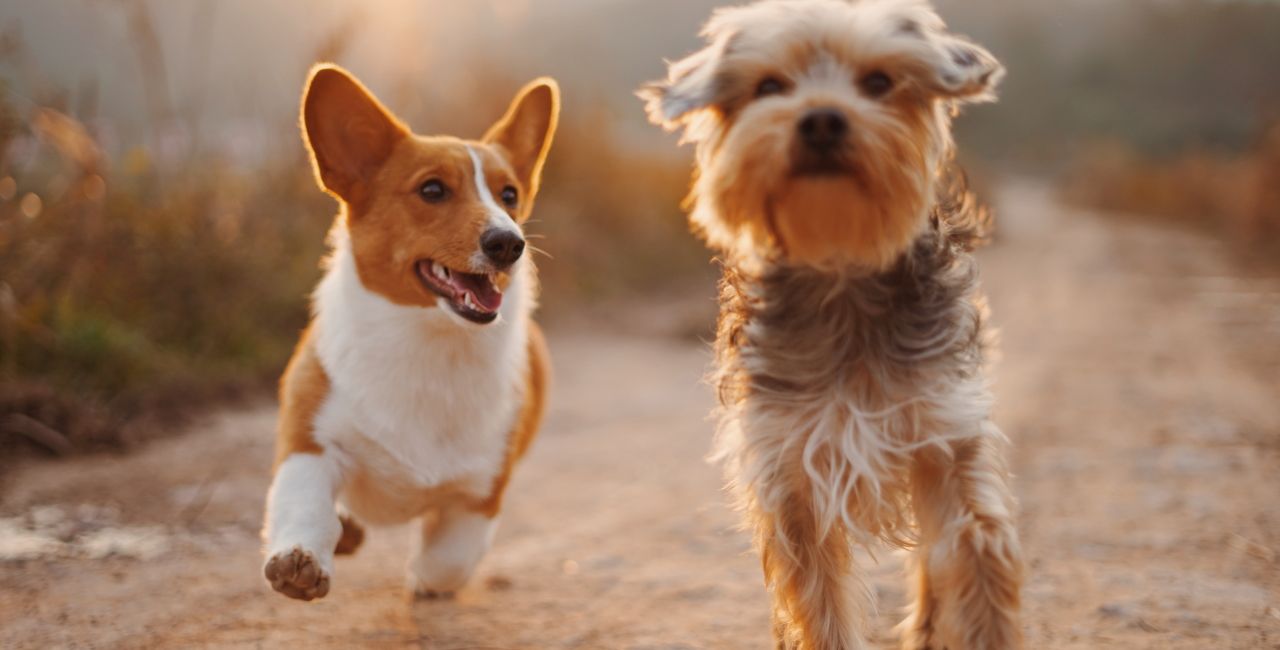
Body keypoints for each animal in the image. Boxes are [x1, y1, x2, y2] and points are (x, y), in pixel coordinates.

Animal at [262, 63, 558, 601]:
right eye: (432, 190)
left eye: (509, 195)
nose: (509, 243)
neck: (428, 341)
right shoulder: (310, 443)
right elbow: (304, 504)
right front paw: (300, 560)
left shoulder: (480, 493)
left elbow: (448, 561)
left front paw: (423, 579)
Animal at [645, 1, 1024, 650]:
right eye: (769, 87)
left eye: (878, 82)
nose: (822, 119)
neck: (841, 267)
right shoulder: (791, 471)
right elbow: (819, 604)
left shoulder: (945, 433)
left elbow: (976, 553)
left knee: (930, 561)